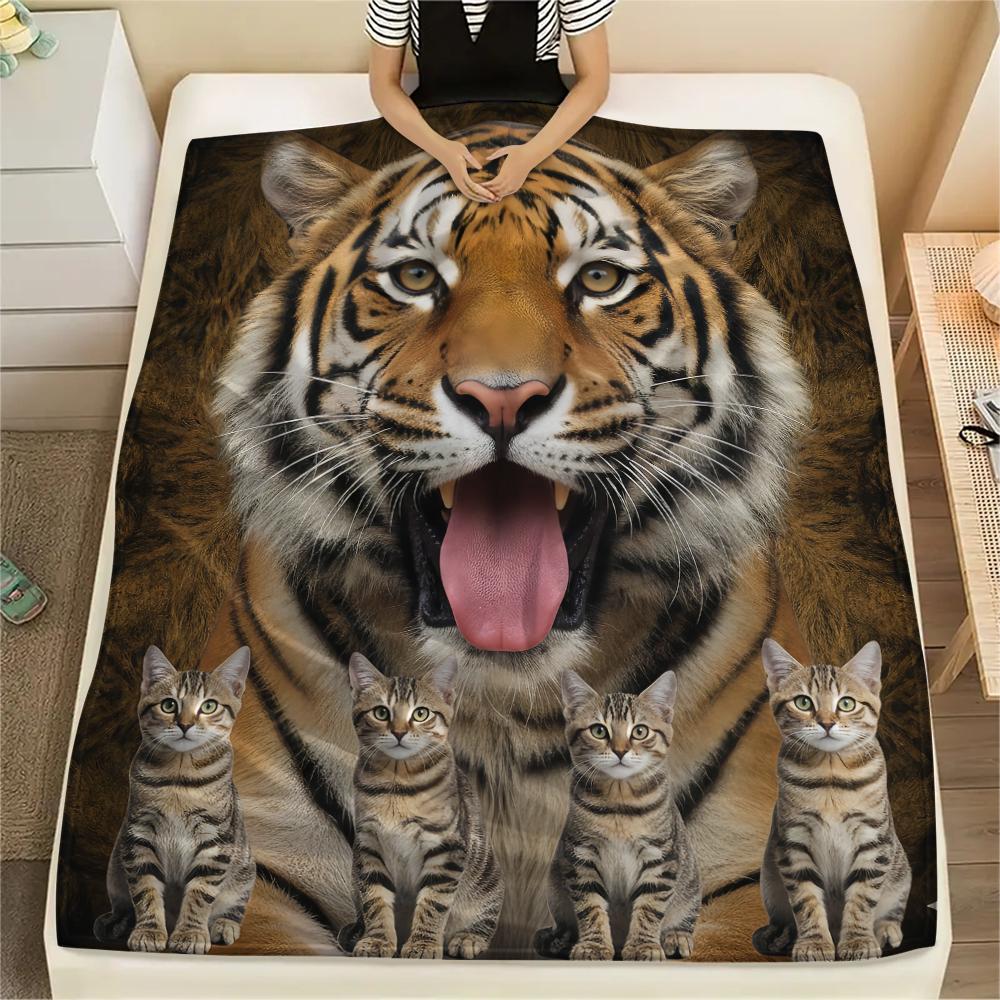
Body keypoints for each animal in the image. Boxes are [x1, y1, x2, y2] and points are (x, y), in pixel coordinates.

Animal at [199, 121, 811, 958]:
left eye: (599, 280)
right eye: (416, 277)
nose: (501, 398)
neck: (506, 705)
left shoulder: (743, 870)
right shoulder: (266, 866)